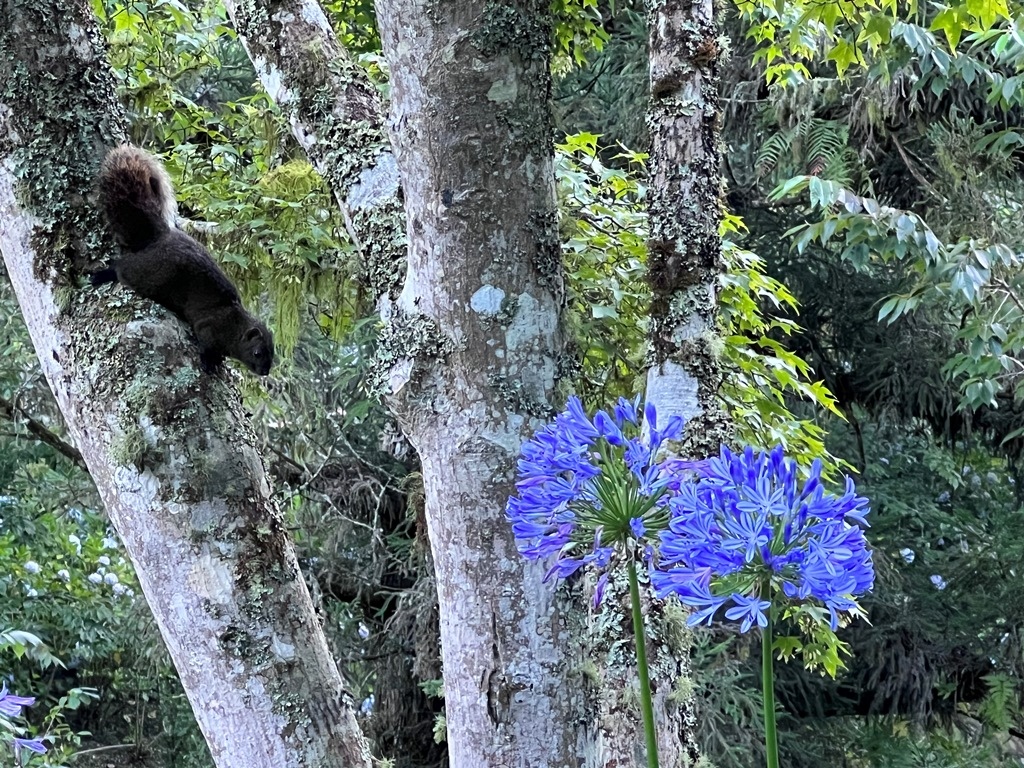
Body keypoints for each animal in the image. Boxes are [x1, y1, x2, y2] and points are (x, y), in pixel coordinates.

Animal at [92, 145, 274, 376]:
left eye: (272, 355)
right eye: (257, 353)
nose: (265, 372)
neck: (234, 324)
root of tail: (158, 237)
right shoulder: (209, 328)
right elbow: (206, 345)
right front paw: (210, 362)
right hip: (149, 275)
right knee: (122, 268)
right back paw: (104, 275)